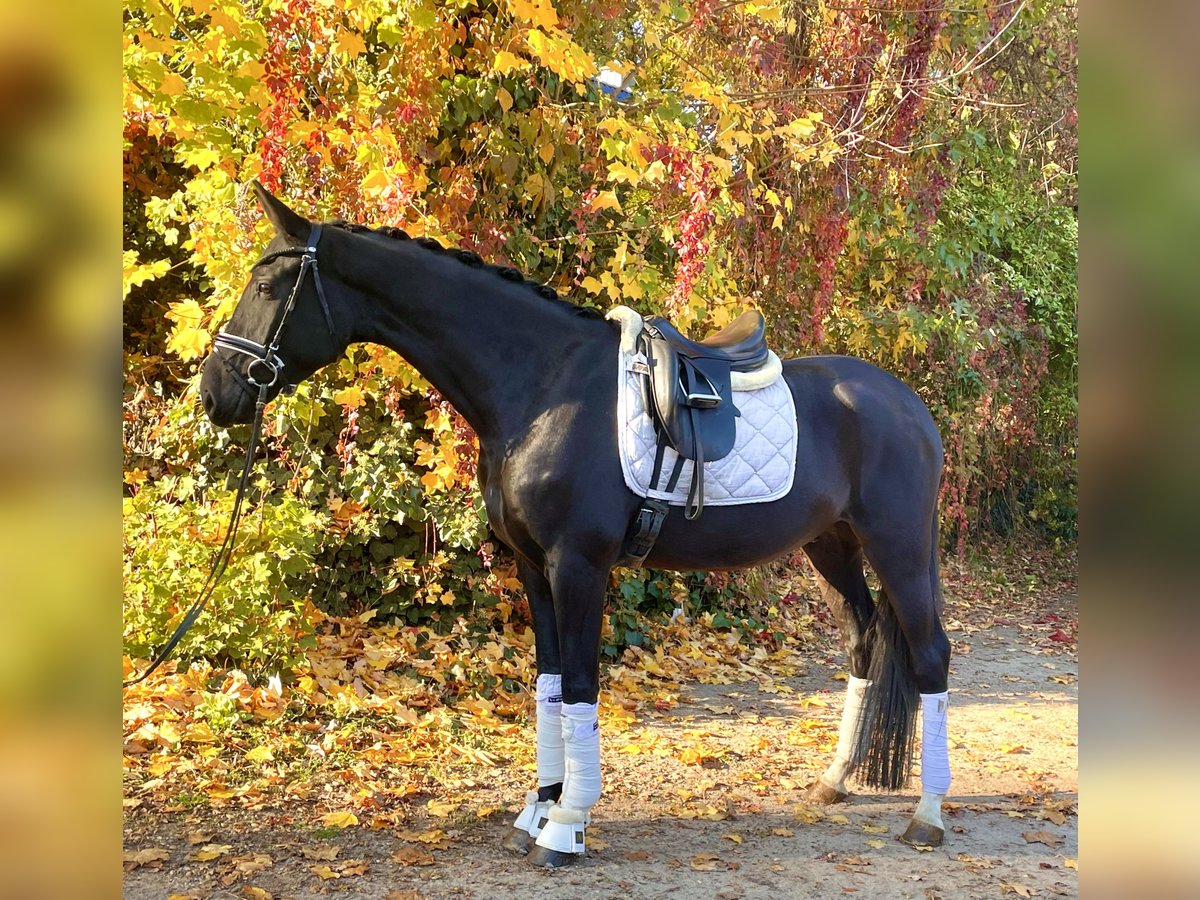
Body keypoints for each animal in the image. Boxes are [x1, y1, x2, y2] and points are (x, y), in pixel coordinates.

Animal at [201, 183, 950, 868]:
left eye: (267, 285)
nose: (213, 392)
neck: (541, 388)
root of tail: (907, 403)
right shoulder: (533, 567)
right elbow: (551, 685)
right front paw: (539, 808)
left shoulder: (579, 564)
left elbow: (584, 686)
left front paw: (567, 826)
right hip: (831, 547)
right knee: (863, 644)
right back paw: (835, 782)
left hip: (900, 546)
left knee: (930, 655)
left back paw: (929, 816)